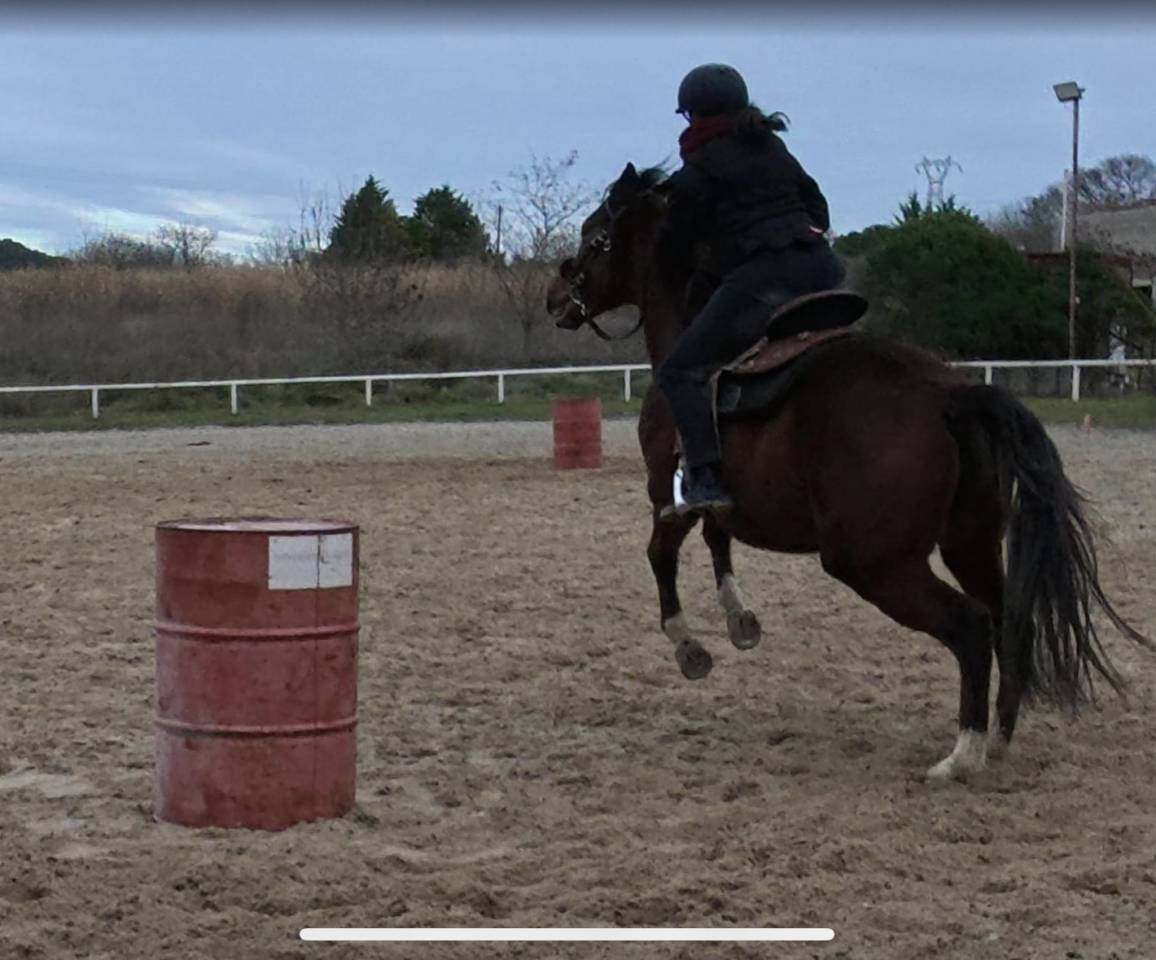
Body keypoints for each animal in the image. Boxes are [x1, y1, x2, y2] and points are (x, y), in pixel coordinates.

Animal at [545, 162, 1150, 783]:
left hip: (872, 563)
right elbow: (718, 537)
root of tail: (950, 394)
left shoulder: (667, 495)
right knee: (1008, 620)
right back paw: (1001, 738)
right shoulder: (715, 499)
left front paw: (691, 648)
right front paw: (740, 622)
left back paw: (962, 753)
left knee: (971, 627)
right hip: (970, 544)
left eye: (595, 235)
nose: (555, 295)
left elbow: (660, 556)